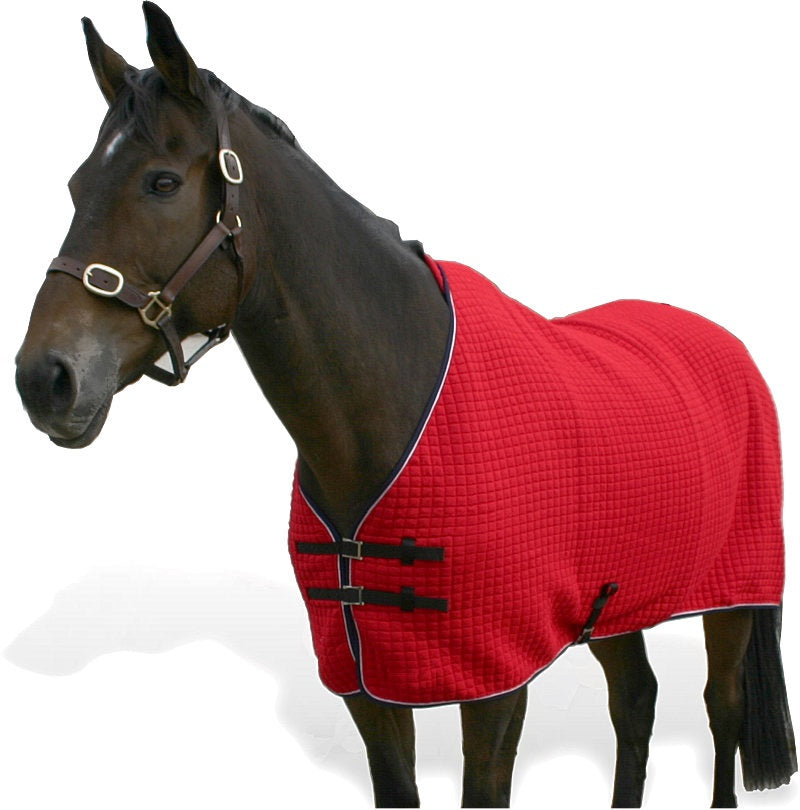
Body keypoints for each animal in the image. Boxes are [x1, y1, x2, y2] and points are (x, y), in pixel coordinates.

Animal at [15, 4, 796, 807]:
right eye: (76, 185)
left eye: (162, 182)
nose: (45, 378)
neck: (394, 405)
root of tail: (728, 346)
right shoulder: (369, 686)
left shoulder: (494, 684)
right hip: (617, 597)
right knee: (636, 699)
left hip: (731, 597)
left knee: (721, 708)